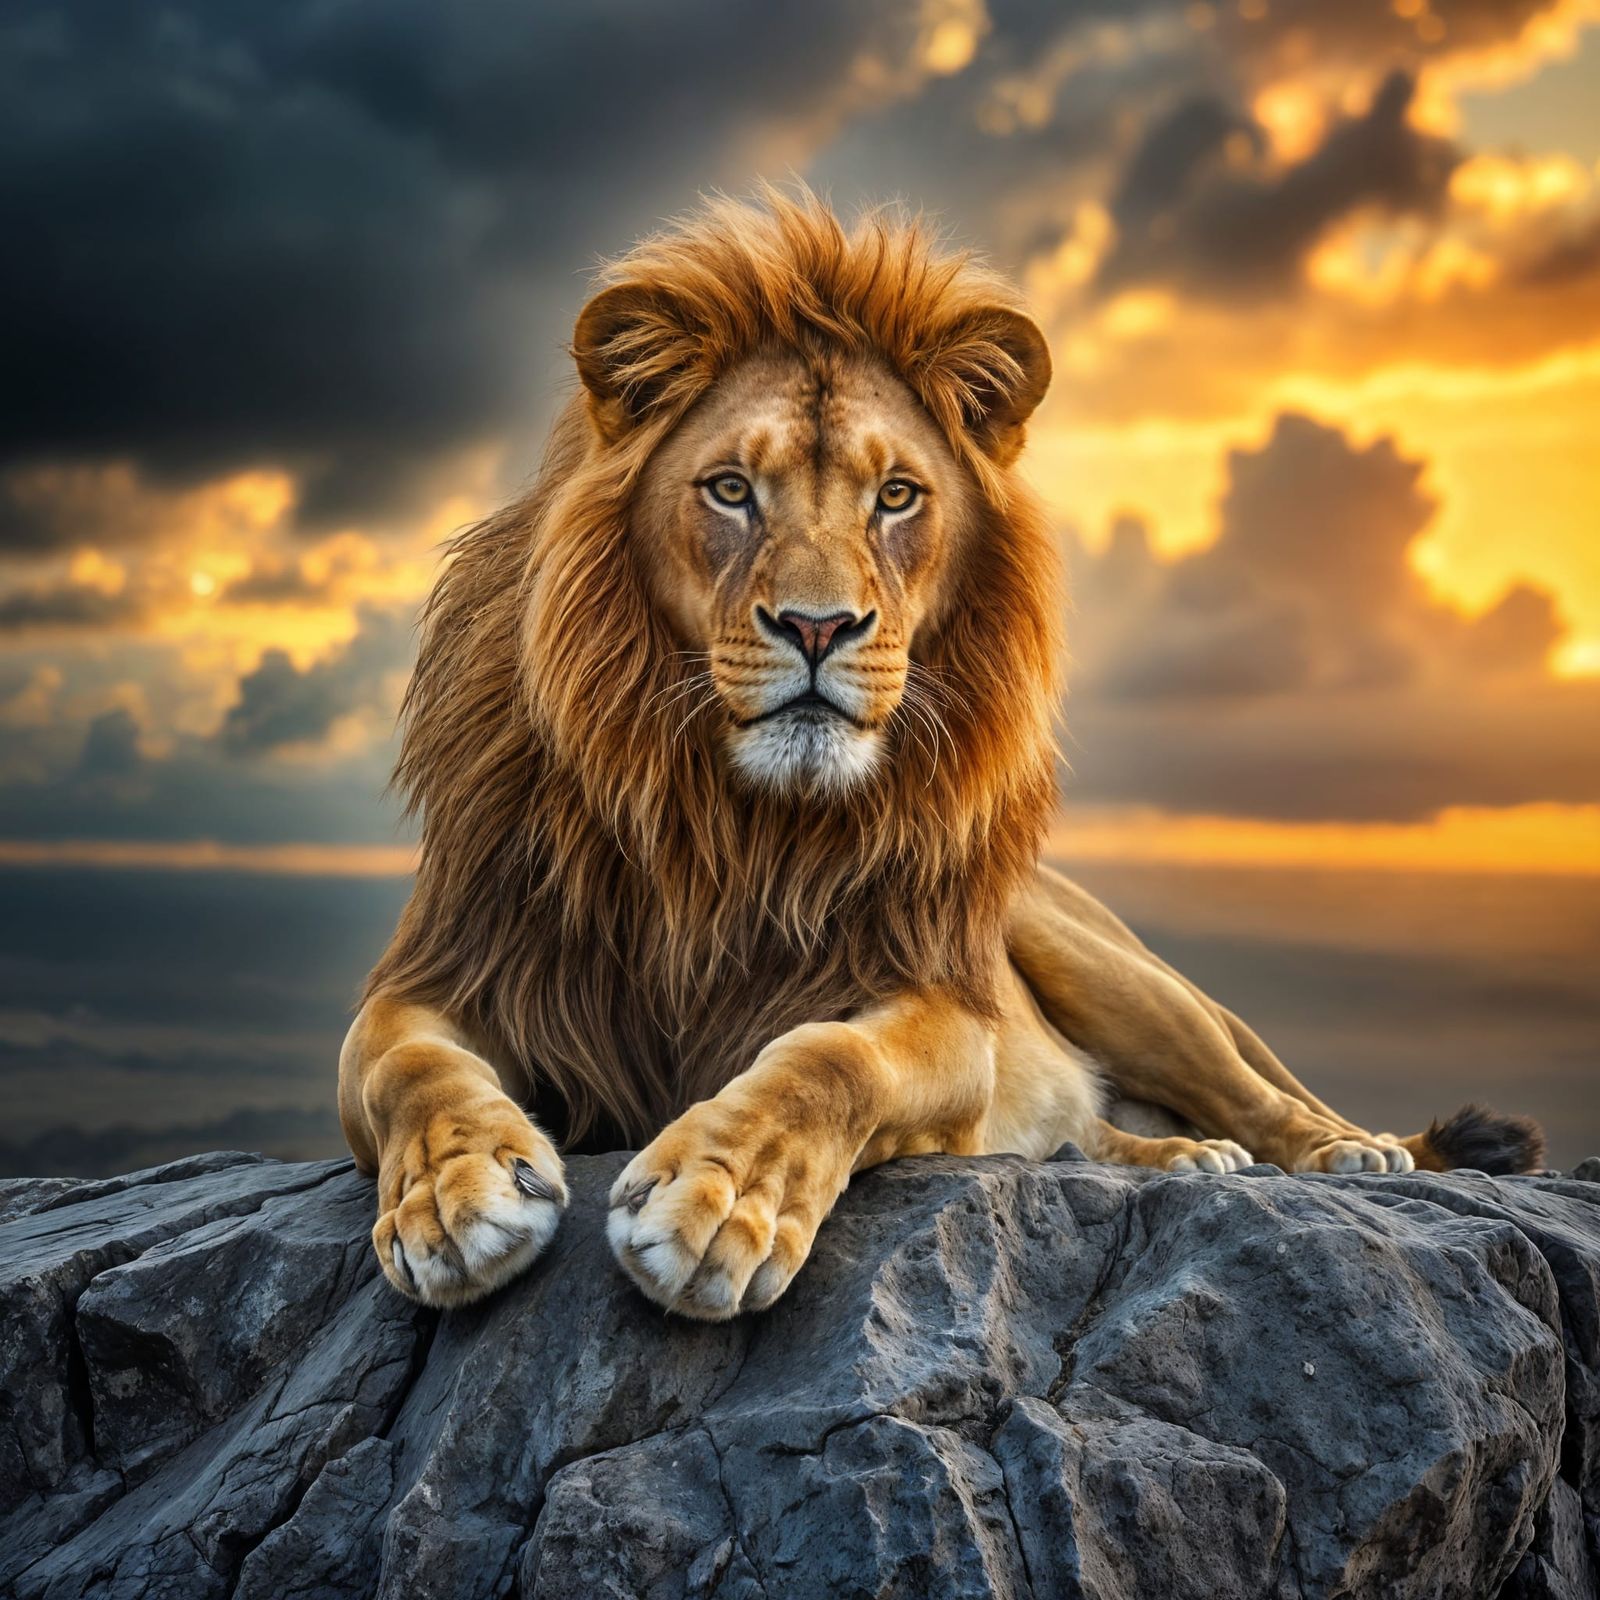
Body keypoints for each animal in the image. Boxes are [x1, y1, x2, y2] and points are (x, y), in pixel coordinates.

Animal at [338, 188, 1544, 1317]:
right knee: (1083, 1133)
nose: (817, 626)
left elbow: (826, 1059)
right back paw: (1184, 1156)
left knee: (1258, 1092)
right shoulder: (447, 967)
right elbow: (406, 1064)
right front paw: (453, 1196)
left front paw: (719, 1197)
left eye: (896, 496)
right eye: (730, 489)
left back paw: (1337, 1148)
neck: (727, 825)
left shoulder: (940, 1006)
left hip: (1109, 968)